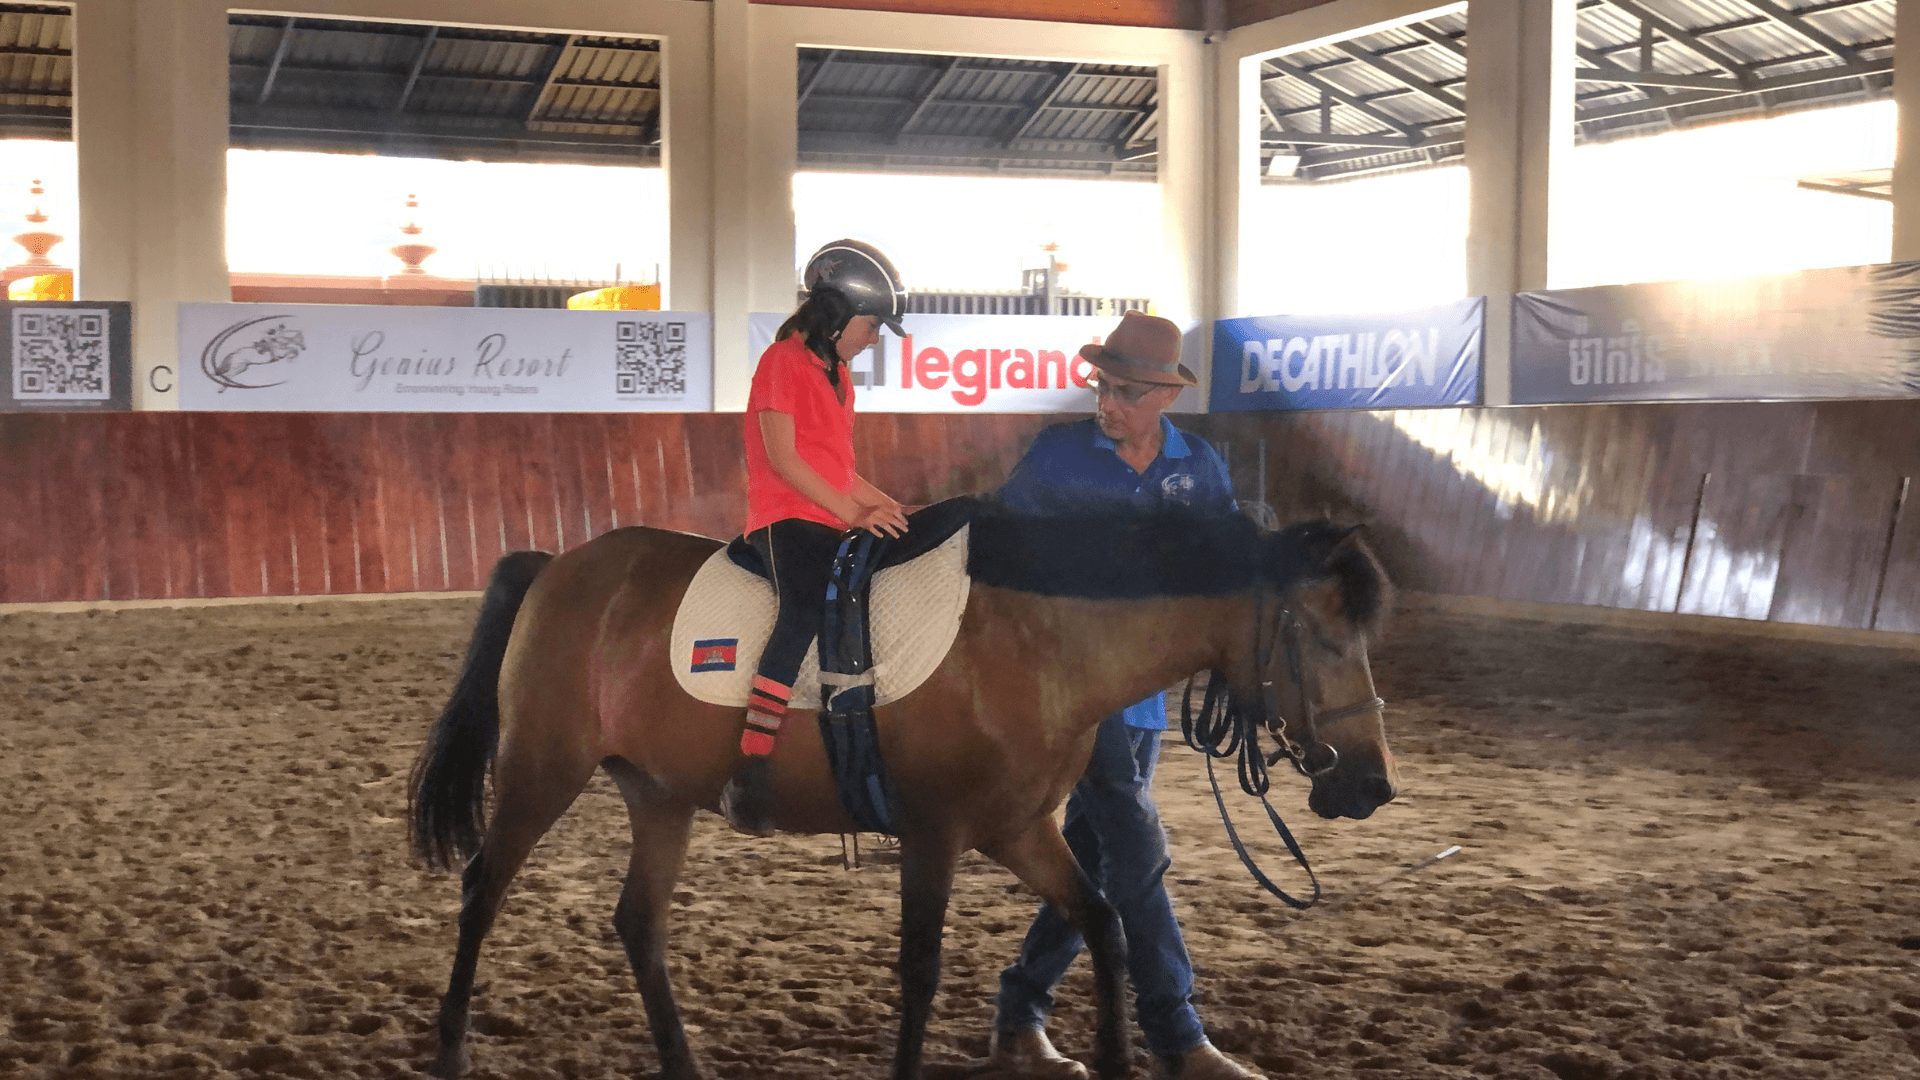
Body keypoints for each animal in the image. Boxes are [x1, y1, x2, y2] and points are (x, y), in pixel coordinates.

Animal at [408, 503, 1397, 1076]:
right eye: (1319, 634)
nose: (1371, 785)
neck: (1037, 635)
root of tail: (559, 567)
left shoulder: (1021, 828)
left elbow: (1103, 920)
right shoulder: (936, 831)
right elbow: (921, 970)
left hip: (659, 794)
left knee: (636, 922)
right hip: (541, 770)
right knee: (482, 892)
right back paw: (450, 1051)